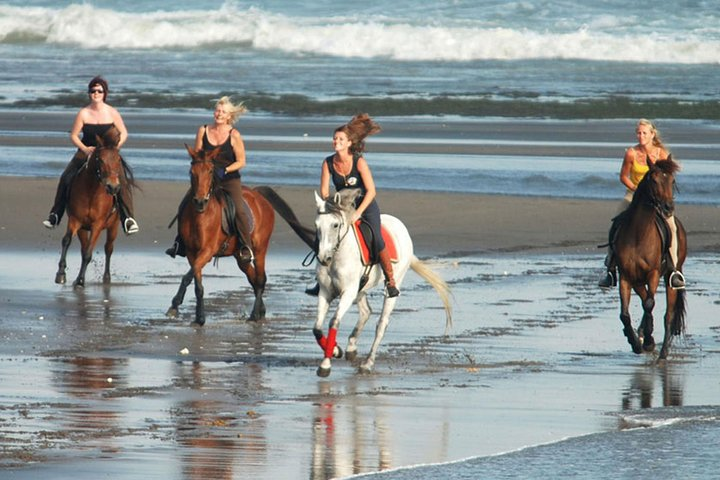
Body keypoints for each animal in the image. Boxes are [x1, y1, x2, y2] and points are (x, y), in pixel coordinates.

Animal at [53, 131, 131, 289]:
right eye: (100, 159)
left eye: (118, 160)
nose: (113, 187)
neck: (91, 191)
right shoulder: (75, 220)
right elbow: (67, 241)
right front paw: (61, 274)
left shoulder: (98, 225)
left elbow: (89, 253)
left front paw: (80, 280)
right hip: (83, 229)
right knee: (83, 247)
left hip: (113, 227)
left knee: (108, 248)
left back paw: (106, 277)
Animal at [166, 145, 314, 326]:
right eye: (191, 172)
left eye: (210, 171)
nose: (200, 202)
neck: (200, 216)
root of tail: (258, 195)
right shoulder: (191, 252)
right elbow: (197, 284)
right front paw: (199, 318)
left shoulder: (207, 251)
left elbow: (188, 277)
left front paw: (174, 305)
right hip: (240, 255)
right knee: (252, 278)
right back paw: (261, 311)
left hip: (260, 249)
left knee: (260, 279)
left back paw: (254, 315)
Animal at [311, 189, 453, 377]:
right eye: (317, 225)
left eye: (335, 225)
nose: (323, 258)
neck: (337, 256)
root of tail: (401, 227)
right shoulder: (325, 291)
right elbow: (317, 328)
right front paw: (335, 350)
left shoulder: (348, 292)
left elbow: (334, 322)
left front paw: (325, 364)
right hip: (361, 288)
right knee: (366, 312)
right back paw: (351, 348)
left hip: (393, 285)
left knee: (381, 324)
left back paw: (367, 363)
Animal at [612, 158, 687, 360]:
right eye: (654, 180)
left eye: (672, 181)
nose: (668, 208)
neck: (639, 233)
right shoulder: (626, 276)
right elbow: (625, 314)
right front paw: (635, 342)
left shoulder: (653, 273)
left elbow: (650, 303)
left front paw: (648, 341)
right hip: (637, 280)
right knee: (645, 298)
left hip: (670, 277)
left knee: (668, 314)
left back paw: (663, 352)